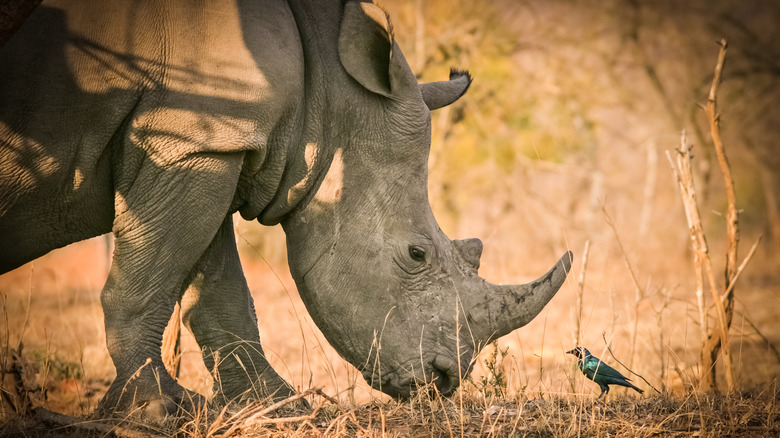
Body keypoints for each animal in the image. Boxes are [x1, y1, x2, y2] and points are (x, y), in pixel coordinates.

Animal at [1, 0, 572, 414]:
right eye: (416, 254)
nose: (444, 380)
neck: (328, 96)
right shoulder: (192, 140)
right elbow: (150, 279)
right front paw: (156, 411)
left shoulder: (214, 143)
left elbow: (217, 285)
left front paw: (275, 407)